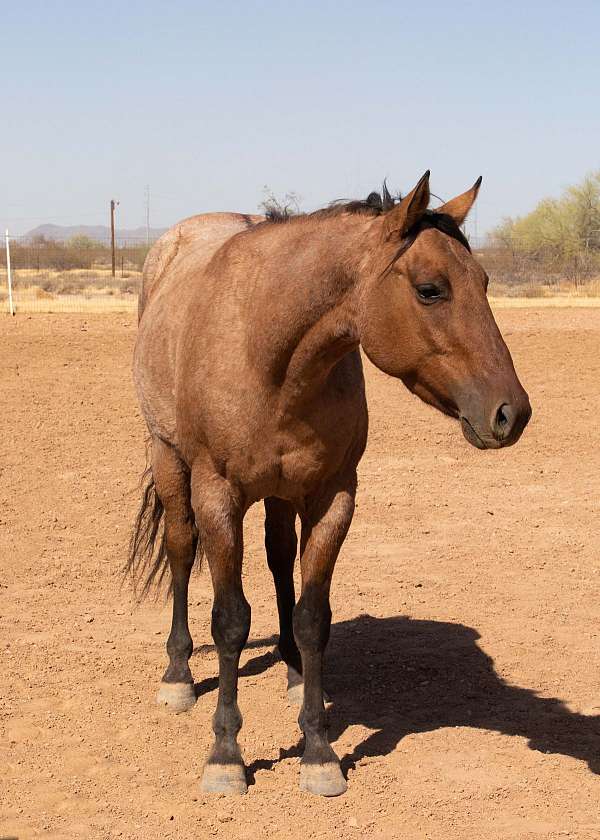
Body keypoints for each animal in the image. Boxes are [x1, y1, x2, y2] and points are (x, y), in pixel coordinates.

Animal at [129, 171, 532, 796]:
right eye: (431, 290)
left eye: (485, 282)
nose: (511, 413)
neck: (267, 351)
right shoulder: (218, 495)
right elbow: (230, 621)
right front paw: (225, 755)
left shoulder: (332, 496)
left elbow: (313, 617)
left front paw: (318, 749)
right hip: (169, 459)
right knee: (179, 547)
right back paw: (177, 674)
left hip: (278, 495)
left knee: (277, 559)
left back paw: (294, 670)